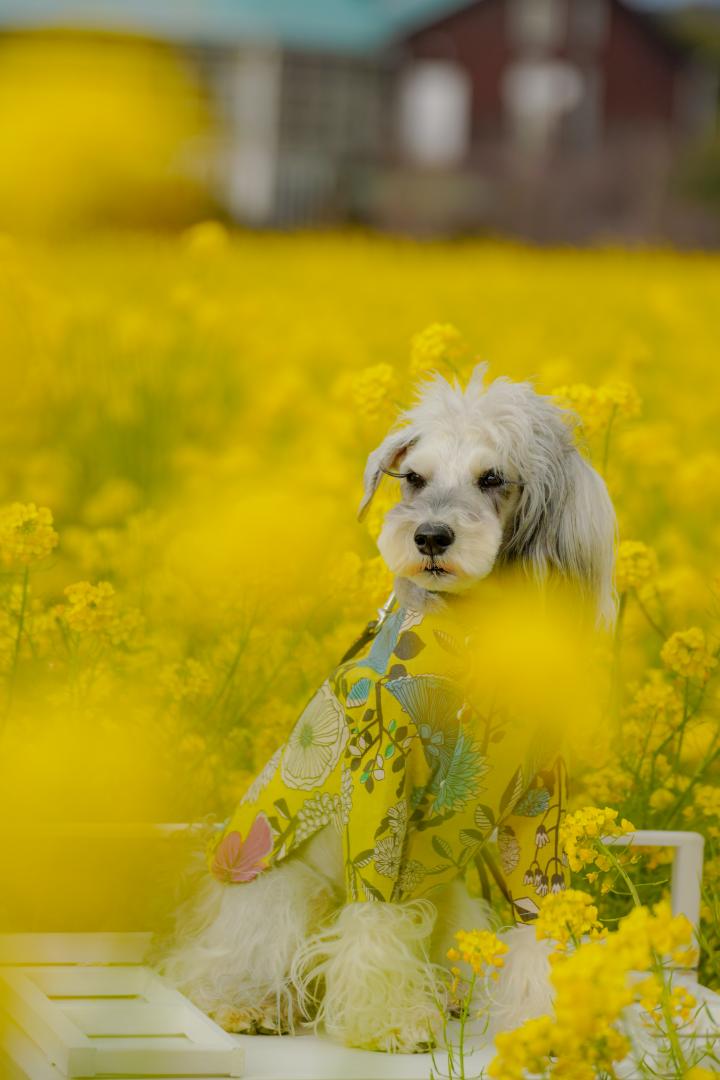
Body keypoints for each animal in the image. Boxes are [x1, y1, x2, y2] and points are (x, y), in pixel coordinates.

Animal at [160, 367, 617, 1049]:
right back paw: (250, 1005)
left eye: (492, 478)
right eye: (414, 478)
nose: (428, 536)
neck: (470, 636)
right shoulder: (384, 775)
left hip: (451, 897)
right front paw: (392, 1022)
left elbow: (537, 913)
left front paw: (556, 1021)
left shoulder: (539, 800)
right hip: (280, 886)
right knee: (226, 962)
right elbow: (374, 916)